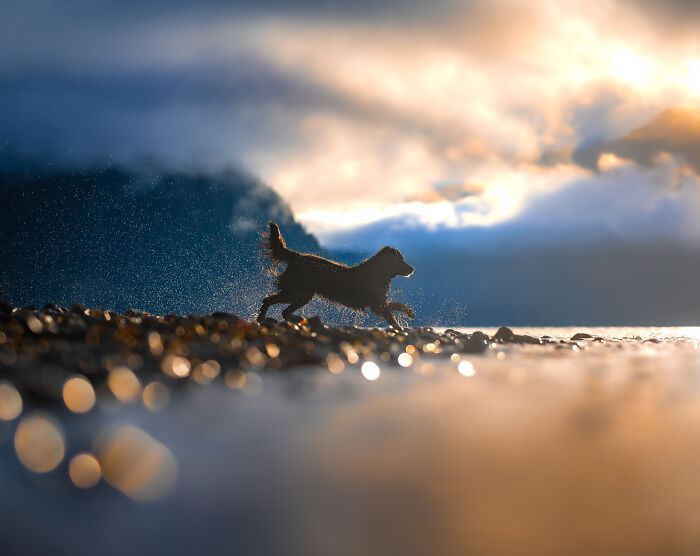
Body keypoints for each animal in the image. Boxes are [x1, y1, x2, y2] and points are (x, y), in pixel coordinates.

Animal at [258, 219, 416, 328]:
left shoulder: (378, 304)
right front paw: (406, 317)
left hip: (300, 294)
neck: (379, 273)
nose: (412, 269)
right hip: (298, 292)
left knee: (276, 305)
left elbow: (393, 307)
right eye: (401, 260)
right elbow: (394, 308)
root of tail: (297, 256)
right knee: (276, 305)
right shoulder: (377, 303)